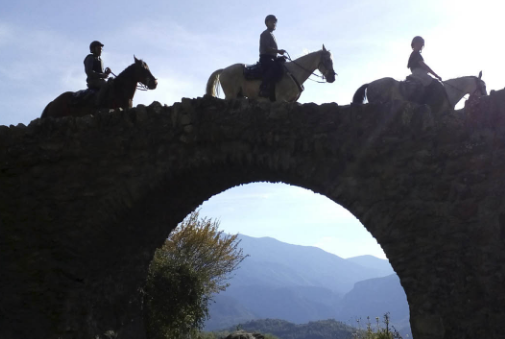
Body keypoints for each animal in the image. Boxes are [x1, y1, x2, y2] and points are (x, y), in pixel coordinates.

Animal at [205, 45, 334, 103]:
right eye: (328, 60)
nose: (332, 78)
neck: (293, 72)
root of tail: (223, 70)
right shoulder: (281, 99)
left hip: (239, 96)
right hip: (230, 95)